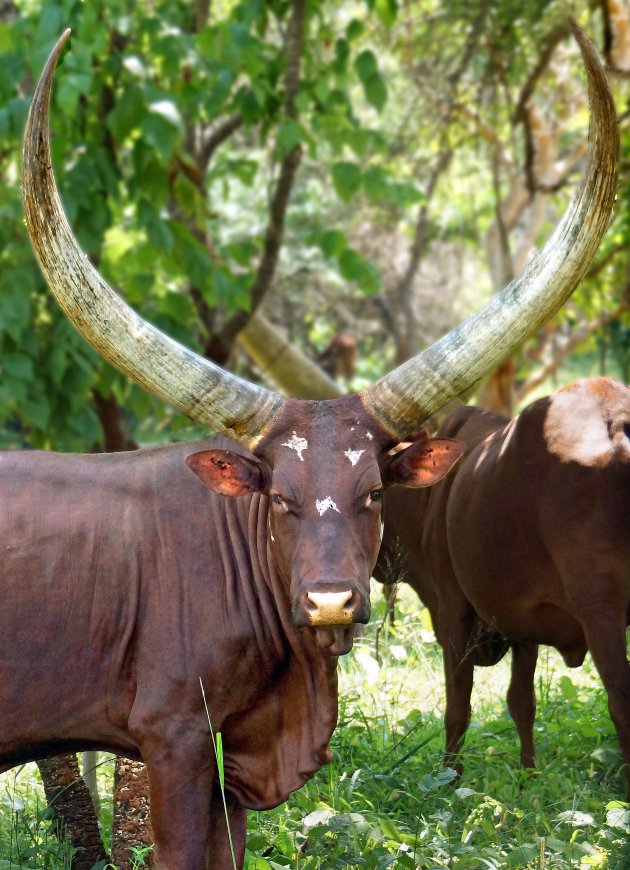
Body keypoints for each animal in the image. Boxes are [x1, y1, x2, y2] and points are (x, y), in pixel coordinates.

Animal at [380, 376, 630, 796]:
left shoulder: (452, 610)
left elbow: (458, 706)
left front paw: (450, 779)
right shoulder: (524, 622)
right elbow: (521, 703)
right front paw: (529, 776)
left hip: (601, 610)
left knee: (620, 700)